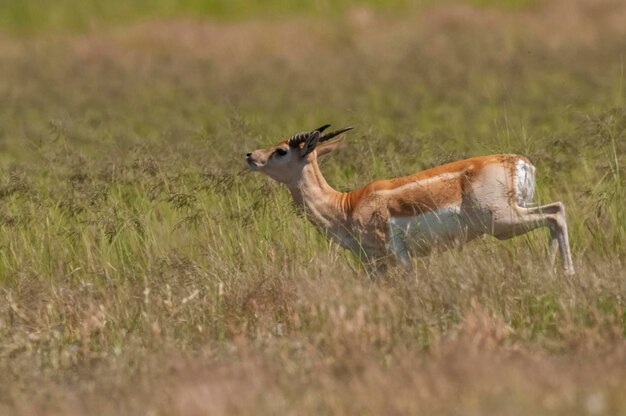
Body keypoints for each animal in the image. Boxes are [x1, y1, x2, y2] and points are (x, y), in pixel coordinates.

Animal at [243, 125, 572, 274]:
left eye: (281, 150)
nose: (249, 155)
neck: (346, 205)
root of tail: (519, 162)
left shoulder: (398, 257)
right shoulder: (373, 264)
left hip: (502, 222)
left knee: (554, 215)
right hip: (517, 212)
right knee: (556, 210)